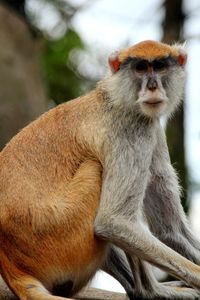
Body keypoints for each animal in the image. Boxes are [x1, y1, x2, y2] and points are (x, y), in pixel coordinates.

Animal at [0, 40, 200, 300]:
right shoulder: (133, 130)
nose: (152, 87)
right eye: (140, 68)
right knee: (97, 169)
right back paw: (149, 291)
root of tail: (11, 264)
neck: (115, 97)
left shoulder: (150, 128)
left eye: (160, 66)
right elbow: (113, 222)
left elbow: (171, 230)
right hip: (60, 238)